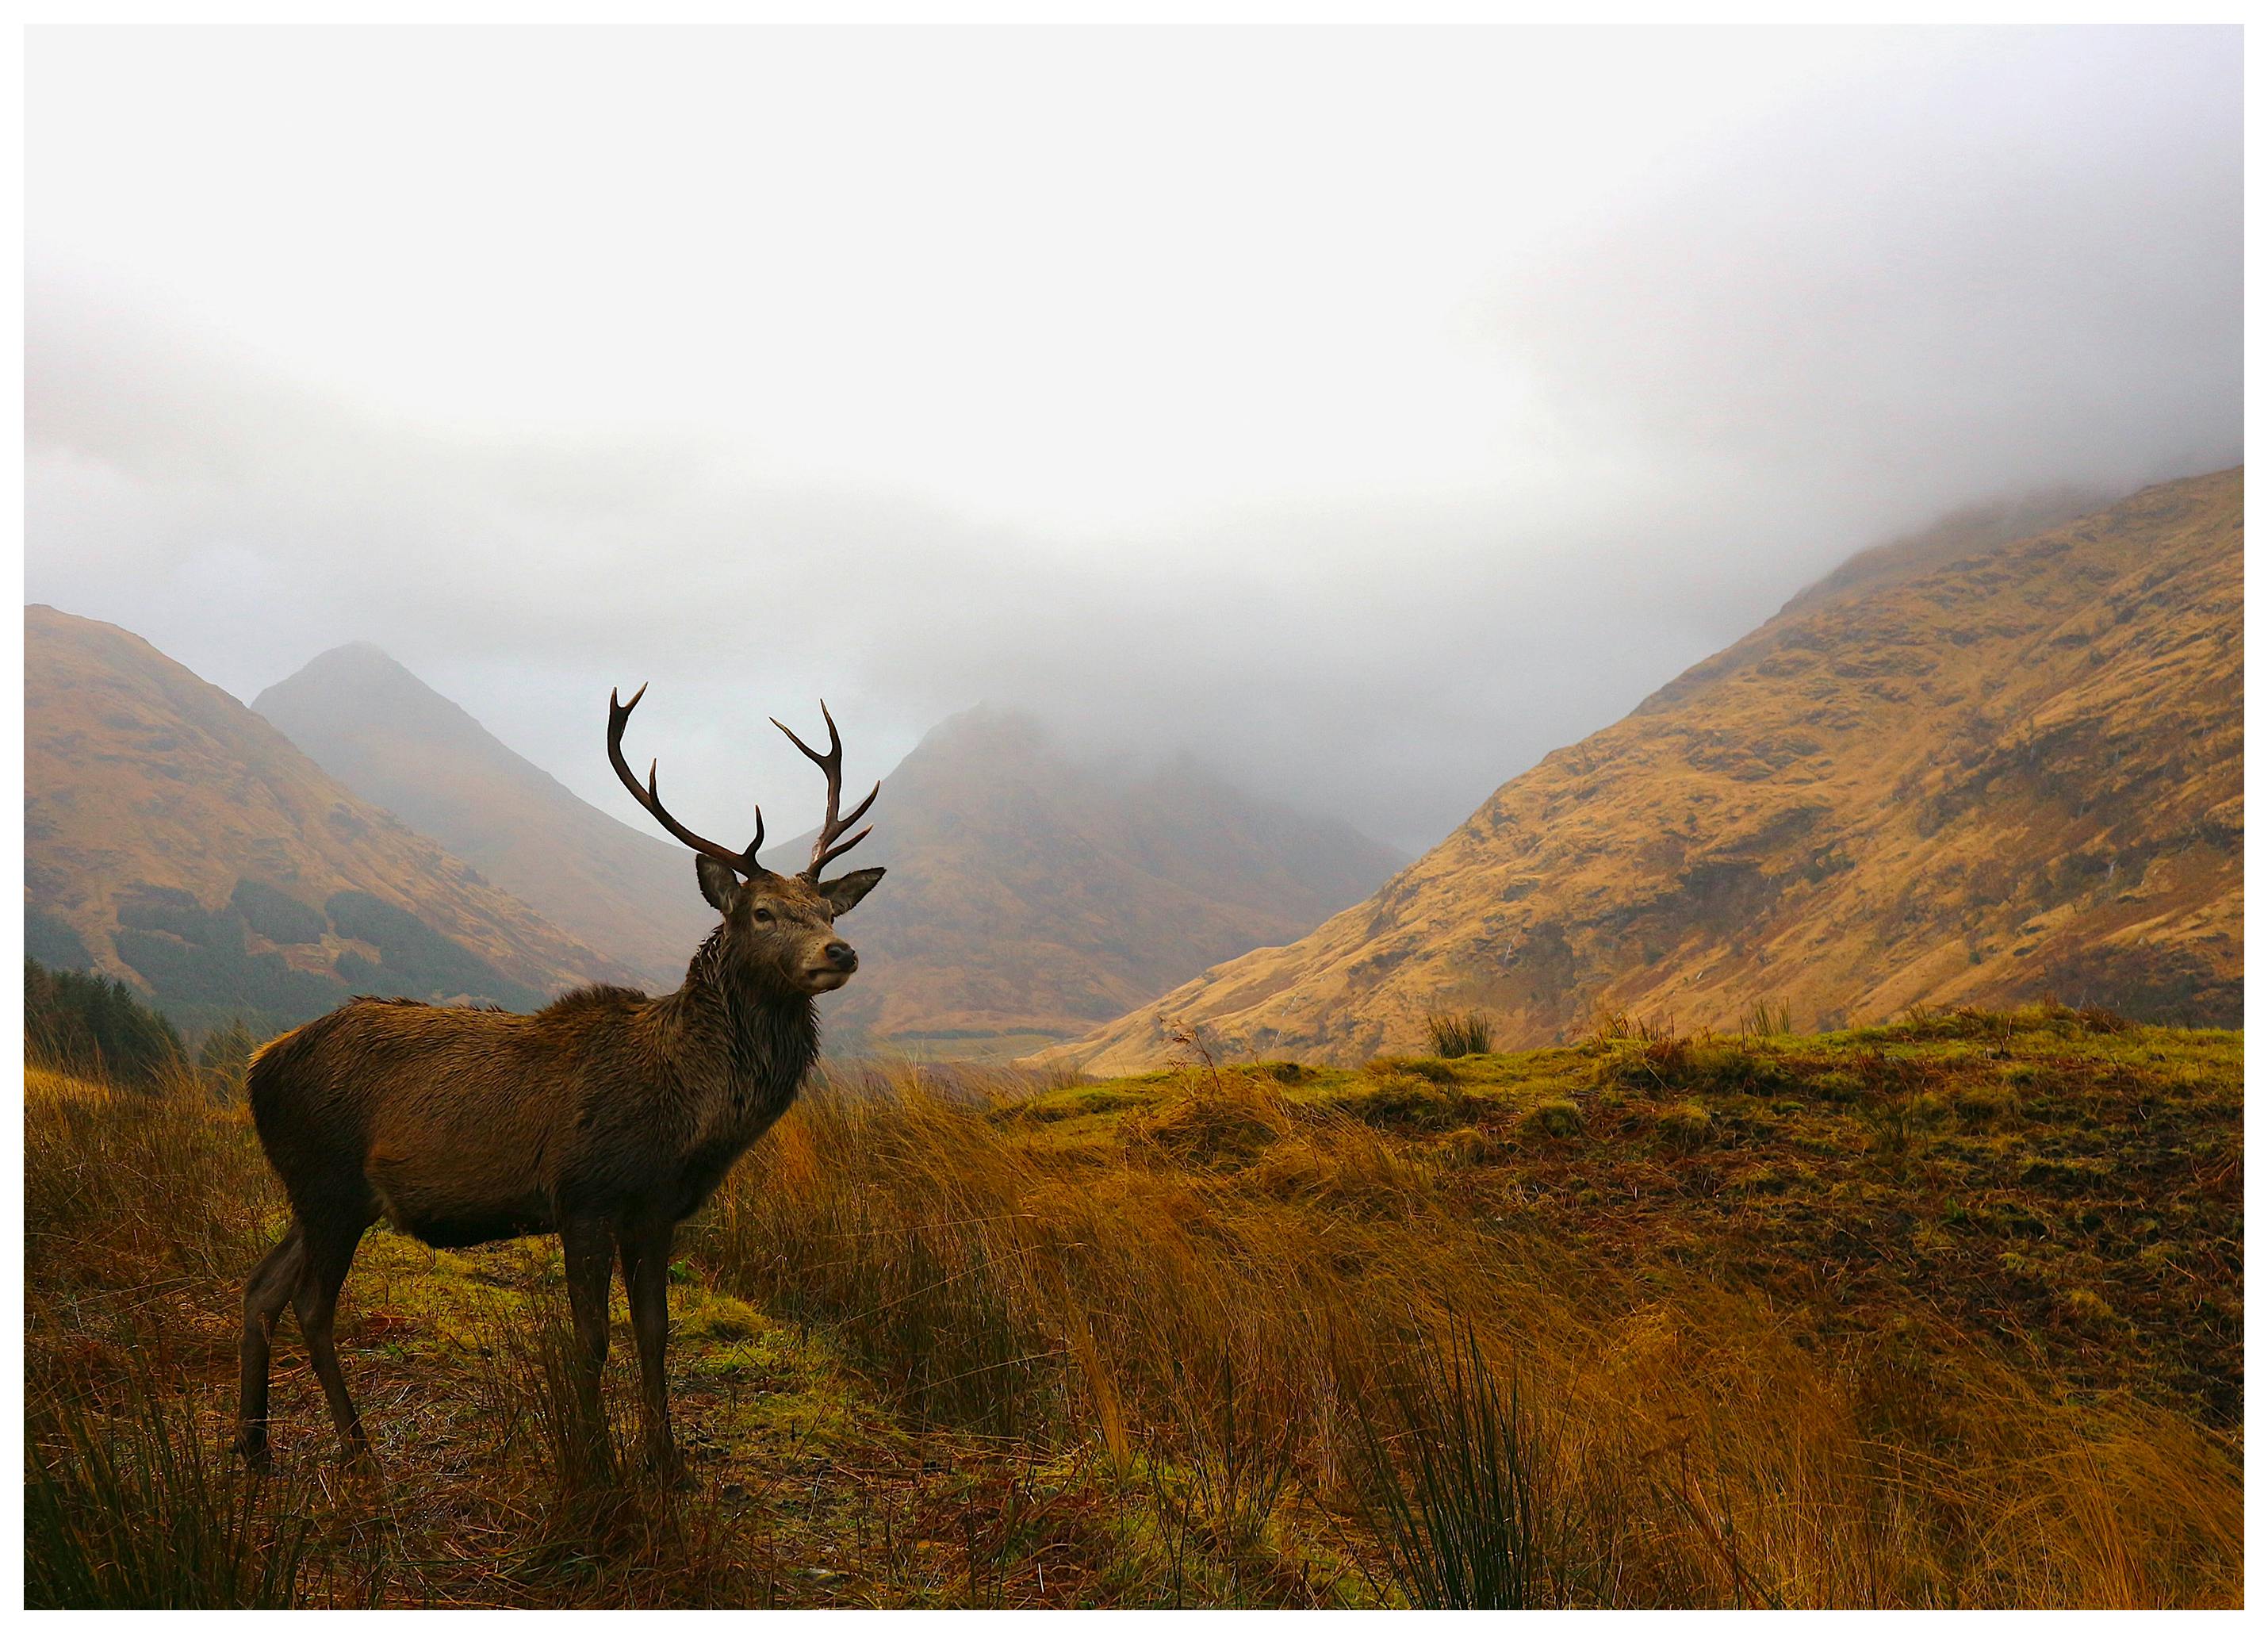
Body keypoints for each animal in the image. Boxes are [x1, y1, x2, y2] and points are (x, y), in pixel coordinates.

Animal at [235, 688, 885, 1479]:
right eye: (762, 913)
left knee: (260, 1287)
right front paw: (600, 1461)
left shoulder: (657, 1211)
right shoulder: (585, 1193)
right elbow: (593, 1338)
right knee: (309, 1304)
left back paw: (255, 1447)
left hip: (321, 1192)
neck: (687, 1120)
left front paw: (669, 1465)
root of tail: (258, 1066)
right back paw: (358, 1451)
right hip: (327, 1180)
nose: (840, 951)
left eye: (826, 910)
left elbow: (655, 1331)